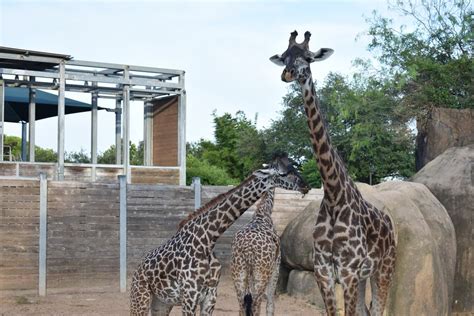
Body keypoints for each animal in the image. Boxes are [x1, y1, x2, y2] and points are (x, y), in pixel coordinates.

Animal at [231, 188, 282, 316]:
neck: (264, 212)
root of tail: (249, 249)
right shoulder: (276, 267)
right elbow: (270, 304)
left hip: (239, 273)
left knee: (242, 306)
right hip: (261, 274)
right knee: (256, 305)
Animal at [270, 30, 396, 316]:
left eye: (308, 57)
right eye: (284, 56)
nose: (288, 73)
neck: (333, 196)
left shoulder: (347, 271)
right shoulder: (324, 272)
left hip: (385, 269)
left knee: (379, 309)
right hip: (364, 276)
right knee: (366, 310)